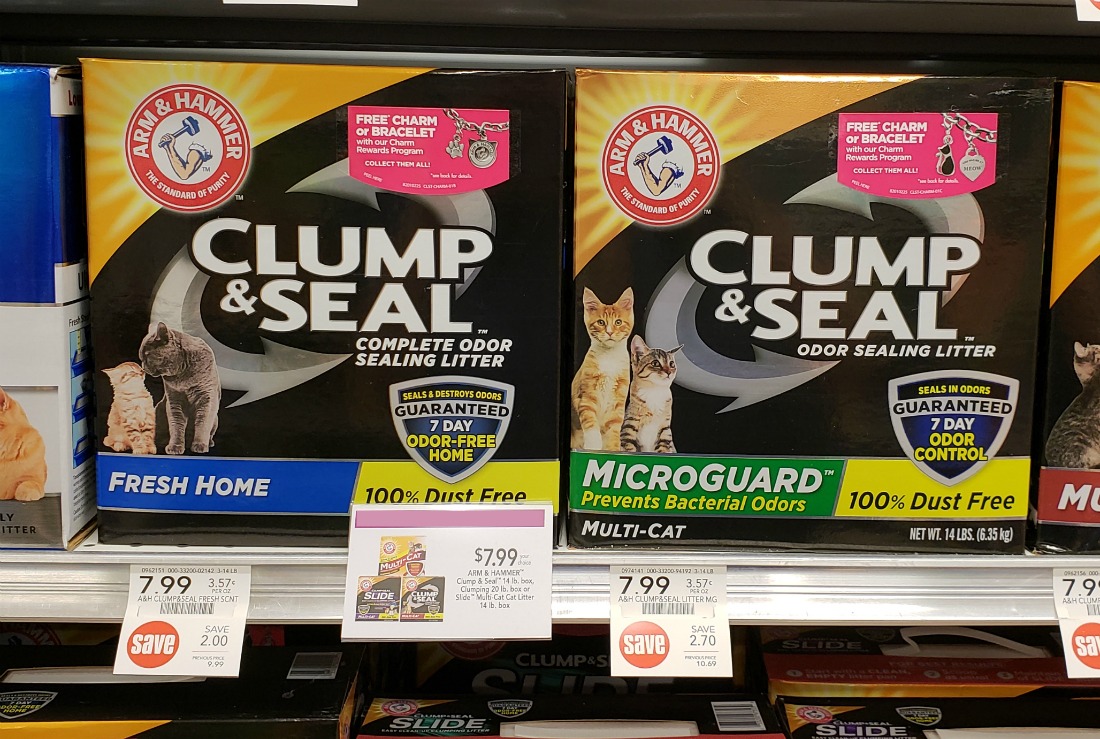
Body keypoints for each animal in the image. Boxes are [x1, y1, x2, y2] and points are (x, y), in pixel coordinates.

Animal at [139, 322, 221, 455]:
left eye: (147, 355)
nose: (143, 367)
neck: (183, 375)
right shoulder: (174, 399)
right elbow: (176, 425)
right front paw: (175, 446)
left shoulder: (207, 397)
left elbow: (203, 423)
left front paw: (200, 445)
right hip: (158, 410)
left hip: (216, 418)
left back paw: (209, 442)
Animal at [570, 287, 634, 451]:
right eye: (601, 322)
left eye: (618, 322)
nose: (610, 332)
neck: (609, 358)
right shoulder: (585, 397)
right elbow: (590, 423)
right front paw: (593, 445)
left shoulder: (618, 402)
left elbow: (613, 430)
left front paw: (612, 449)